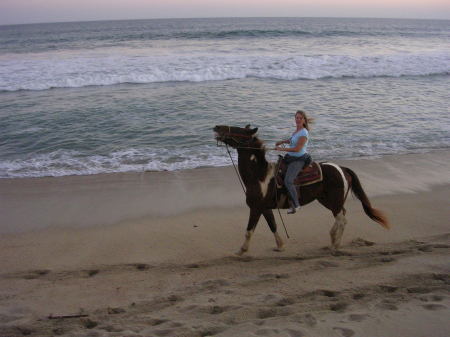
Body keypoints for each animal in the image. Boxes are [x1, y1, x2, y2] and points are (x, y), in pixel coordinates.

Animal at [213, 124, 388, 255]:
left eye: (238, 130)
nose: (217, 127)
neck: (260, 176)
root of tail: (342, 169)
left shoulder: (256, 208)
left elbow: (249, 230)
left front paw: (241, 250)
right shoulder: (265, 208)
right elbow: (273, 225)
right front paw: (280, 245)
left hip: (334, 201)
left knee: (342, 220)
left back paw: (335, 246)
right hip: (328, 200)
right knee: (341, 216)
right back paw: (332, 239)